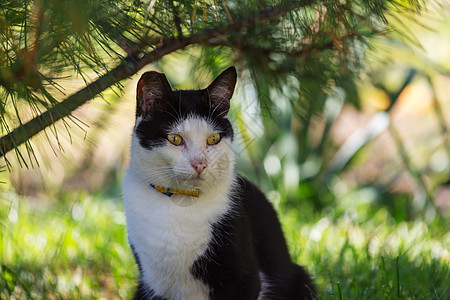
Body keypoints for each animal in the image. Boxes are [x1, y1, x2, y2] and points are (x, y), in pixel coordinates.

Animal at [121, 67, 314, 298]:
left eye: (213, 139)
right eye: (175, 138)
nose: (200, 163)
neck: (180, 202)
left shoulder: (246, 279)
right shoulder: (153, 283)